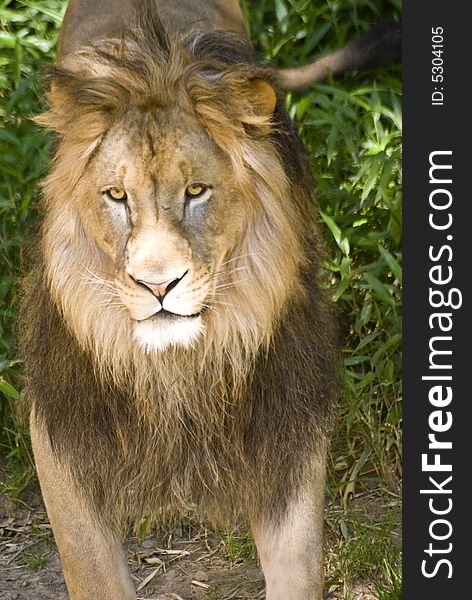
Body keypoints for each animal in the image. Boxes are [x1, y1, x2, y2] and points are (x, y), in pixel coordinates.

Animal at [19, 1, 398, 600]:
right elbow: (92, 571)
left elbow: (298, 571)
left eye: (196, 191)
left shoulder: (288, 434)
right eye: (116, 196)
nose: (158, 286)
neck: (180, 368)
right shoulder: (62, 437)